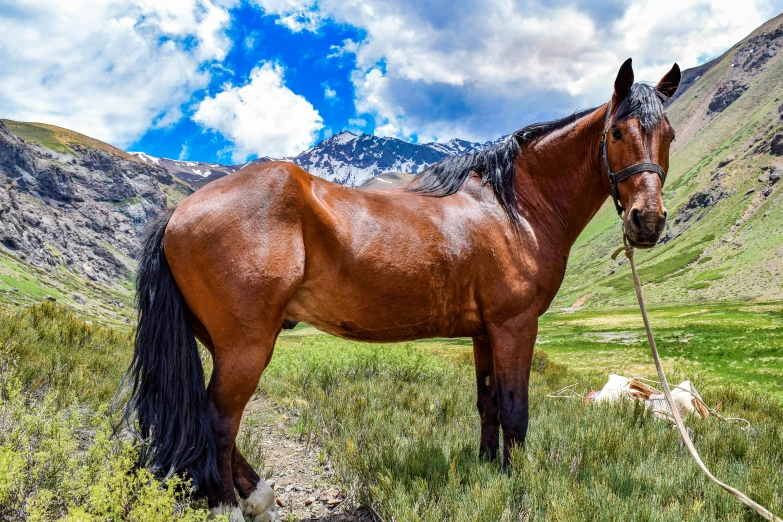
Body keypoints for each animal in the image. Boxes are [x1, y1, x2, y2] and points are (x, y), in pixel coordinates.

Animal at [118, 59, 680, 516]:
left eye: (669, 135)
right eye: (617, 132)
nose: (647, 221)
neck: (513, 208)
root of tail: (178, 213)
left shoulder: (485, 332)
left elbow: (489, 405)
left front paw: (489, 472)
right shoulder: (515, 326)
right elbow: (516, 412)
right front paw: (517, 485)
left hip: (227, 344)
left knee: (217, 420)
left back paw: (258, 497)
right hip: (246, 345)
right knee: (218, 420)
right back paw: (231, 506)